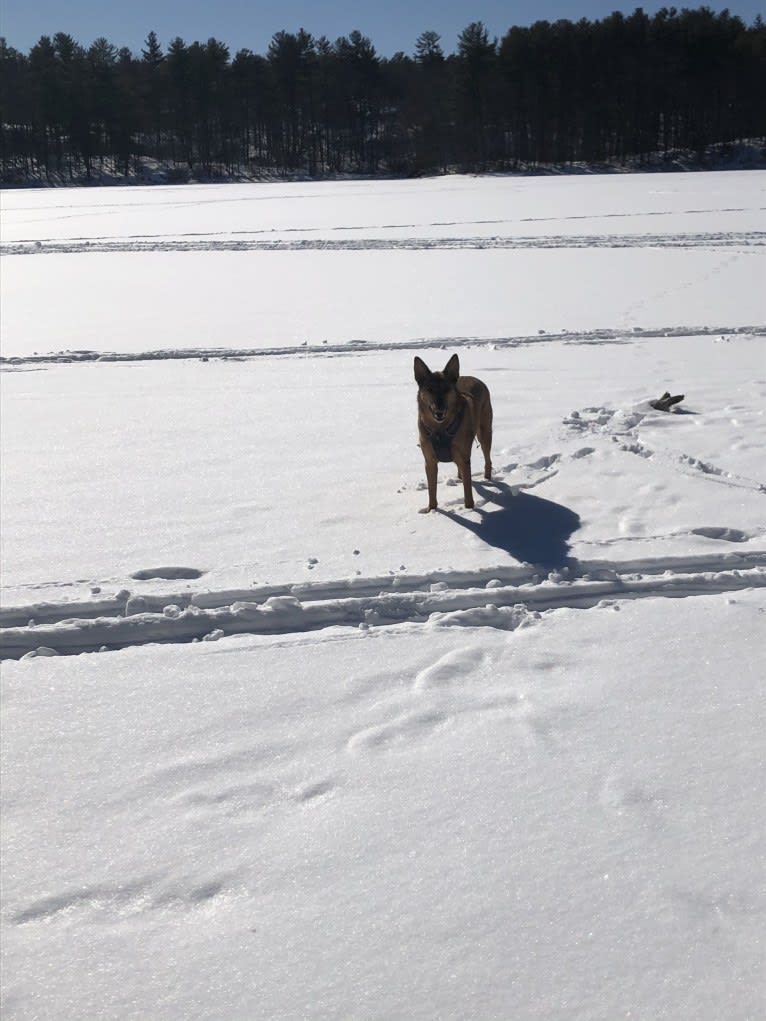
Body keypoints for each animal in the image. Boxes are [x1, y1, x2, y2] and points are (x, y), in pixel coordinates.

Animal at [416, 353, 494, 514]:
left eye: (446, 389)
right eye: (430, 389)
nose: (439, 410)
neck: (440, 429)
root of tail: (475, 378)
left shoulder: (464, 458)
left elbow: (468, 492)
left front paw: (470, 510)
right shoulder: (430, 461)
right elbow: (431, 491)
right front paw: (432, 510)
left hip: (484, 433)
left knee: (487, 459)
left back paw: (487, 478)